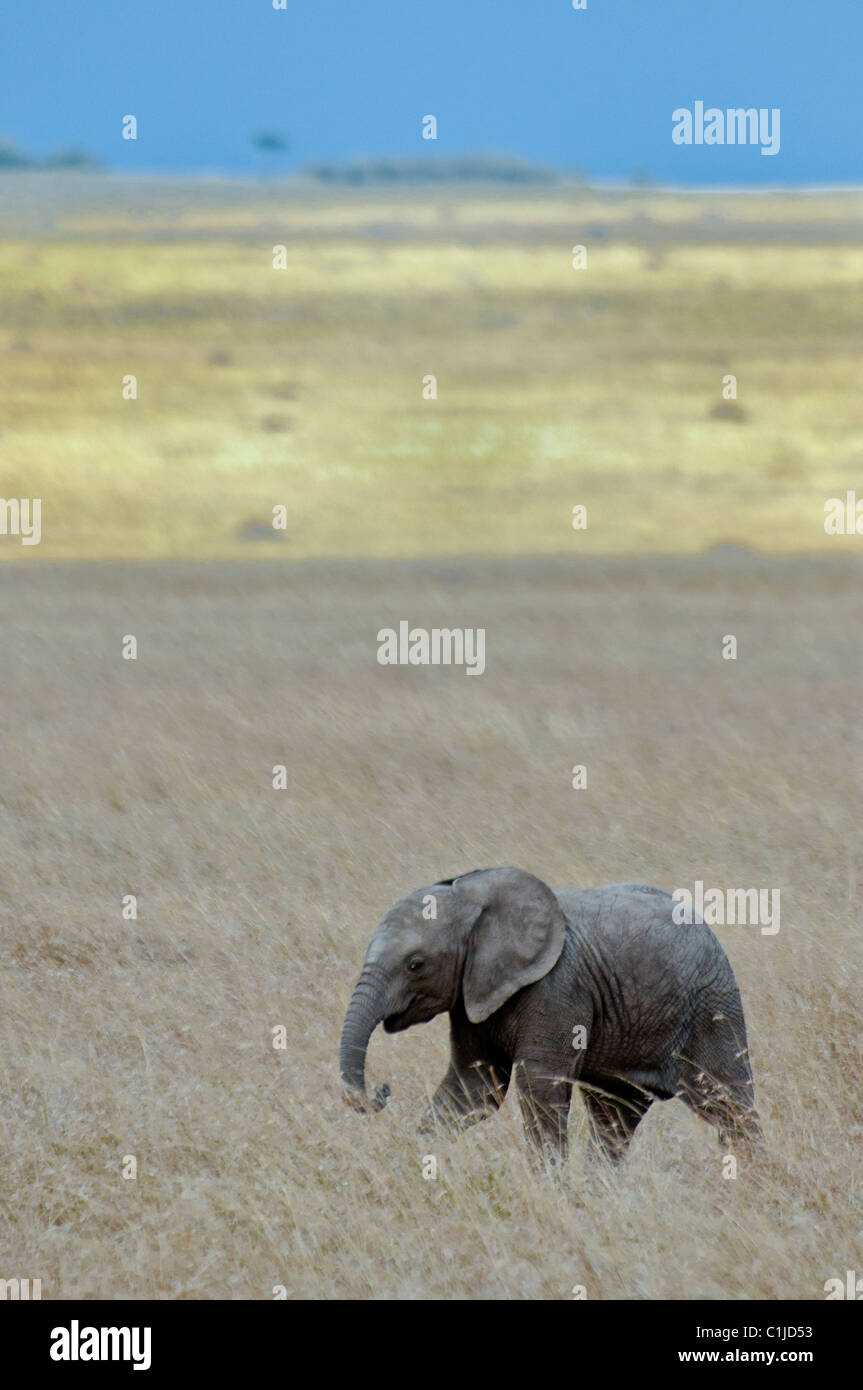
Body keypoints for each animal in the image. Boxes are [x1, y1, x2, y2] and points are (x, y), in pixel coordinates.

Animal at [337, 867, 761, 1162]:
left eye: (416, 965)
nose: (382, 1089)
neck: (474, 893)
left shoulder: (559, 989)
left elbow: (539, 1085)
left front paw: (550, 1186)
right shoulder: (472, 994)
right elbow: (476, 1088)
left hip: (712, 1008)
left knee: (729, 1105)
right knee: (615, 1117)